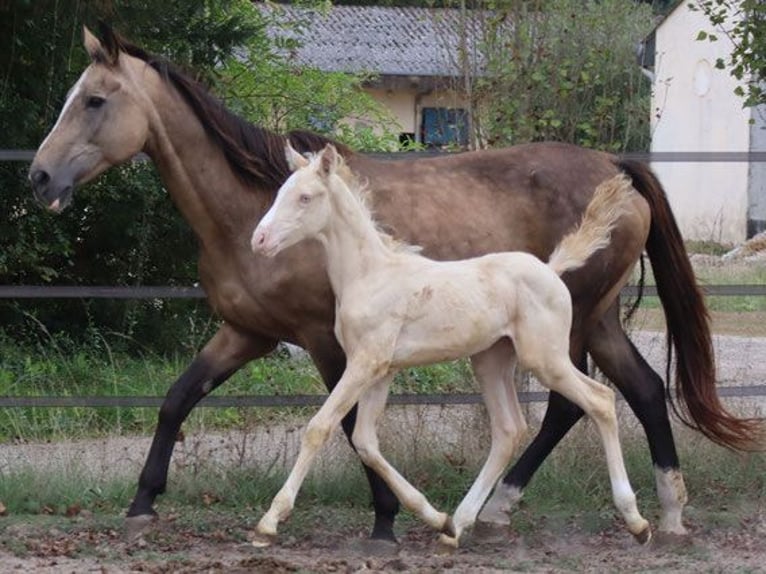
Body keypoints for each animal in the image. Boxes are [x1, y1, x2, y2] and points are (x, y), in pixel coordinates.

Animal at [252, 143, 656, 548]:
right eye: (280, 192)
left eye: (305, 197)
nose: (259, 240)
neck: (370, 275)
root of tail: (551, 269)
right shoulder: (381, 369)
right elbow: (366, 441)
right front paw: (434, 517)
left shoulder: (365, 363)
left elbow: (319, 427)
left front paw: (269, 522)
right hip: (492, 360)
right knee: (509, 429)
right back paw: (457, 525)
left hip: (545, 358)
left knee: (600, 400)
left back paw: (637, 521)